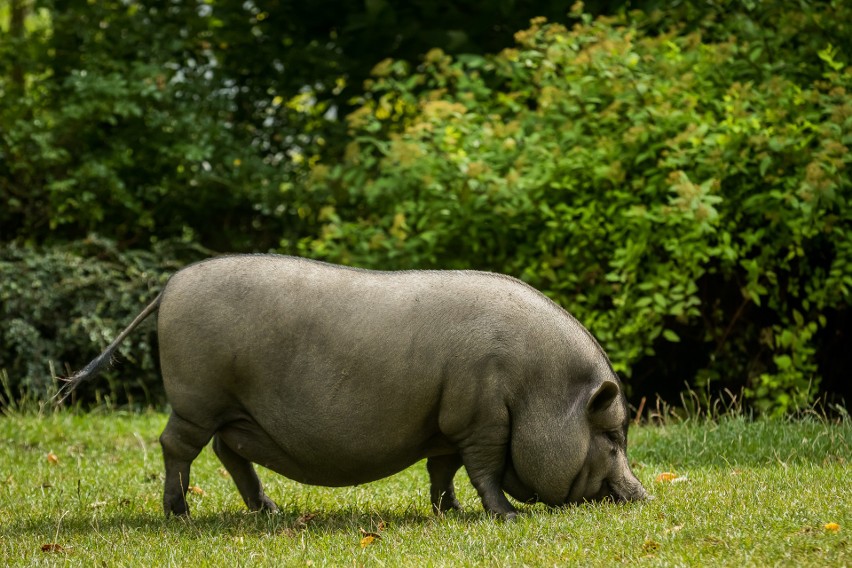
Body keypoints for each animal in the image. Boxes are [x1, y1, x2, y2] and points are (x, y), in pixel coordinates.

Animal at [60, 254, 648, 520]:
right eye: (613, 436)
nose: (644, 493)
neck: (535, 388)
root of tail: (172, 284)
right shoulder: (479, 419)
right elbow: (482, 468)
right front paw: (505, 516)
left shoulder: (445, 425)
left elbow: (442, 470)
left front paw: (450, 513)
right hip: (196, 400)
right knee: (177, 446)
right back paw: (179, 513)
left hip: (234, 410)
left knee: (230, 452)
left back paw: (270, 511)